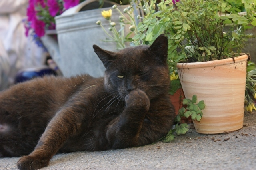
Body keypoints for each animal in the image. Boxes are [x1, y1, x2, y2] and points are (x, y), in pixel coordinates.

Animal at [0, 34, 175, 169]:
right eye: (120, 75)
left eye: (142, 73)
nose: (130, 87)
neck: (118, 106)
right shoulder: (73, 110)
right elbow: (52, 134)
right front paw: (34, 158)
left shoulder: (115, 135)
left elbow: (128, 122)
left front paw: (138, 97)